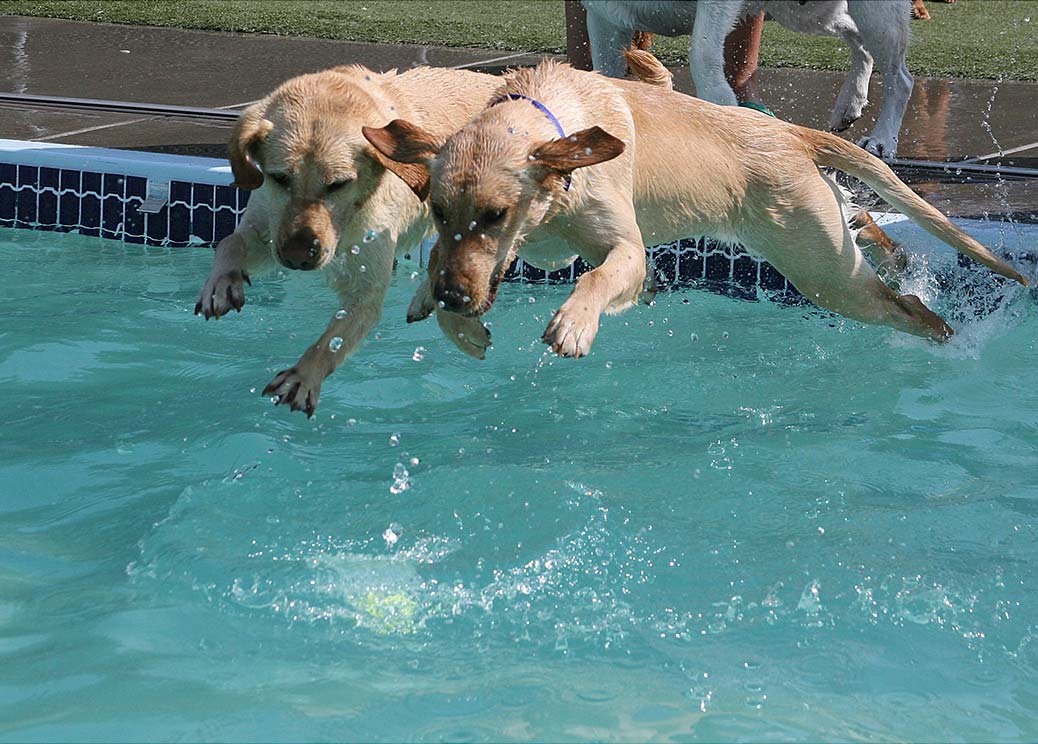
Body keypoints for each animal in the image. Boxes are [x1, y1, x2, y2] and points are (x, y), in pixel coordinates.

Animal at [197, 64, 502, 417]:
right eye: (280, 178)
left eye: (338, 184)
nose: (299, 256)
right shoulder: (269, 234)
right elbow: (230, 242)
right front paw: (220, 285)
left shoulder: (367, 287)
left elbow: (335, 338)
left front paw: (303, 376)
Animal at [363, 52, 1021, 356]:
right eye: (438, 212)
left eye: (496, 215)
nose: (453, 296)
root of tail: (789, 133)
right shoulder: (535, 253)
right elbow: (450, 265)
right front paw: (450, 317)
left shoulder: (625, 252)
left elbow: (599, 277)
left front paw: (573, 322)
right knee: (873, 240)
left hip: (825, 273)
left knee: (908, 307)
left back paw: (948, 340)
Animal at [589, 0, 913, 156]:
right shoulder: (603, 17)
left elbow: (702, 54)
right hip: (804, 13)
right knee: (860, 42)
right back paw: (849, 104)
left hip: (875, 14)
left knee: (900, 77)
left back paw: (883, 140)